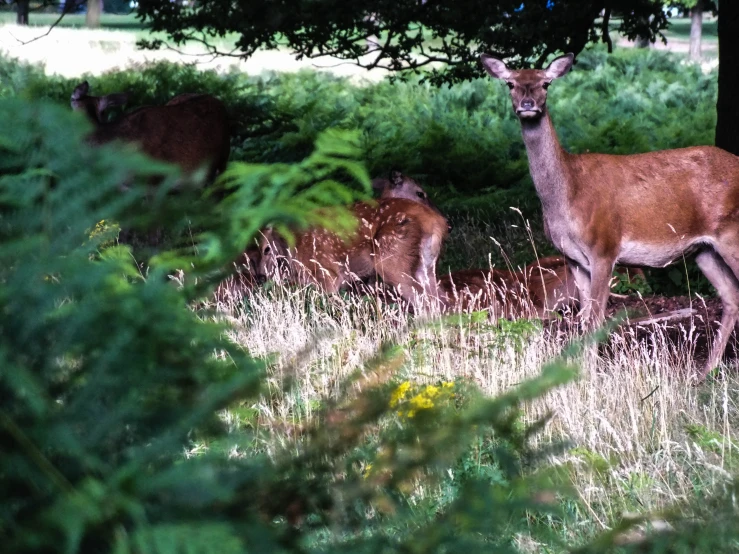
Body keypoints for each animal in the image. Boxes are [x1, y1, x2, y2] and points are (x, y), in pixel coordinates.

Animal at [254, 197, 450, 310]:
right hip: (425, 264)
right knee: (441, 299)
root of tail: (435, 221)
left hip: (391, 258)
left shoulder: (327, 274)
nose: (260, 276)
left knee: (424, 301)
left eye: (266, 249)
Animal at [482, 50, 739, 380]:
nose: (528, 104)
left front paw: (590, 375)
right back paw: (707, 370)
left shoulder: (604, 247)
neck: (568, 193)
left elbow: (595, 319)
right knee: (731, 296)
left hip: (732, 233)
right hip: (703, 249)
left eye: (545, 83)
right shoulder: (574, 259)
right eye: (511, 83)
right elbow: (583, 318)